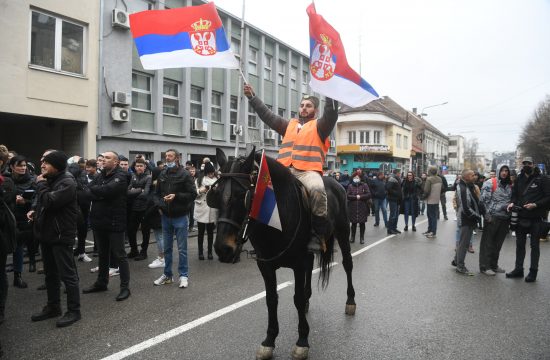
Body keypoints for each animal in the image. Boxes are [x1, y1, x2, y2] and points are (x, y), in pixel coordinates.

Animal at [208, 148, 358, 360]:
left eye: (242, 195)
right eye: (216, 193)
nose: (223, 248)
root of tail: (335, 181)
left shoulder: (298, 263)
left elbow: (296, 298)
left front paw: (302, 340)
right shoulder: (266, 265)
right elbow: (271, 299)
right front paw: (269, 341)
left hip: (343, 233)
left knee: (347, 264)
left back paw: (350, 301)